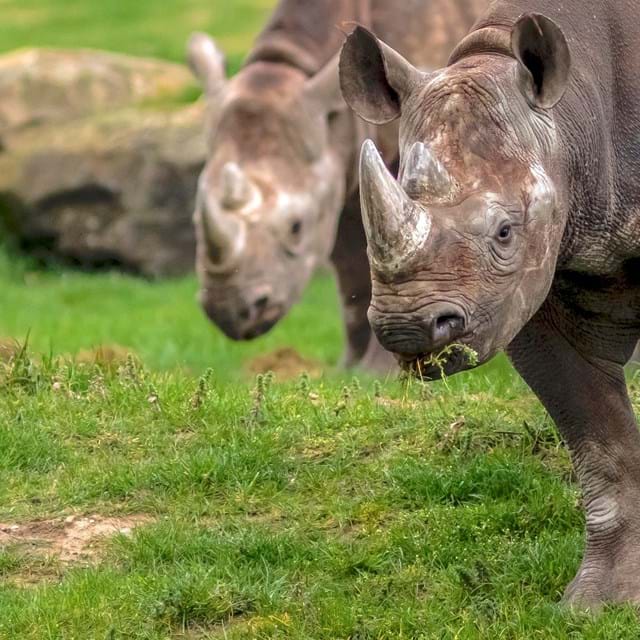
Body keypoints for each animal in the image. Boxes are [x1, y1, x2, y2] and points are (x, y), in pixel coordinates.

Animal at [187, 0, 485, 370]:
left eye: (296, 227)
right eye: (194, 220)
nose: (228, 312)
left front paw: (378, 371)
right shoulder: (341, 177)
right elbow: (351, 264)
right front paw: (349, 368)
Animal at [339, 0, 640, 606]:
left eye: (504, 232)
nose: (407, 328)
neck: (576, 116)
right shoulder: (526, 289)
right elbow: (602, 444)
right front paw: (597, 603)